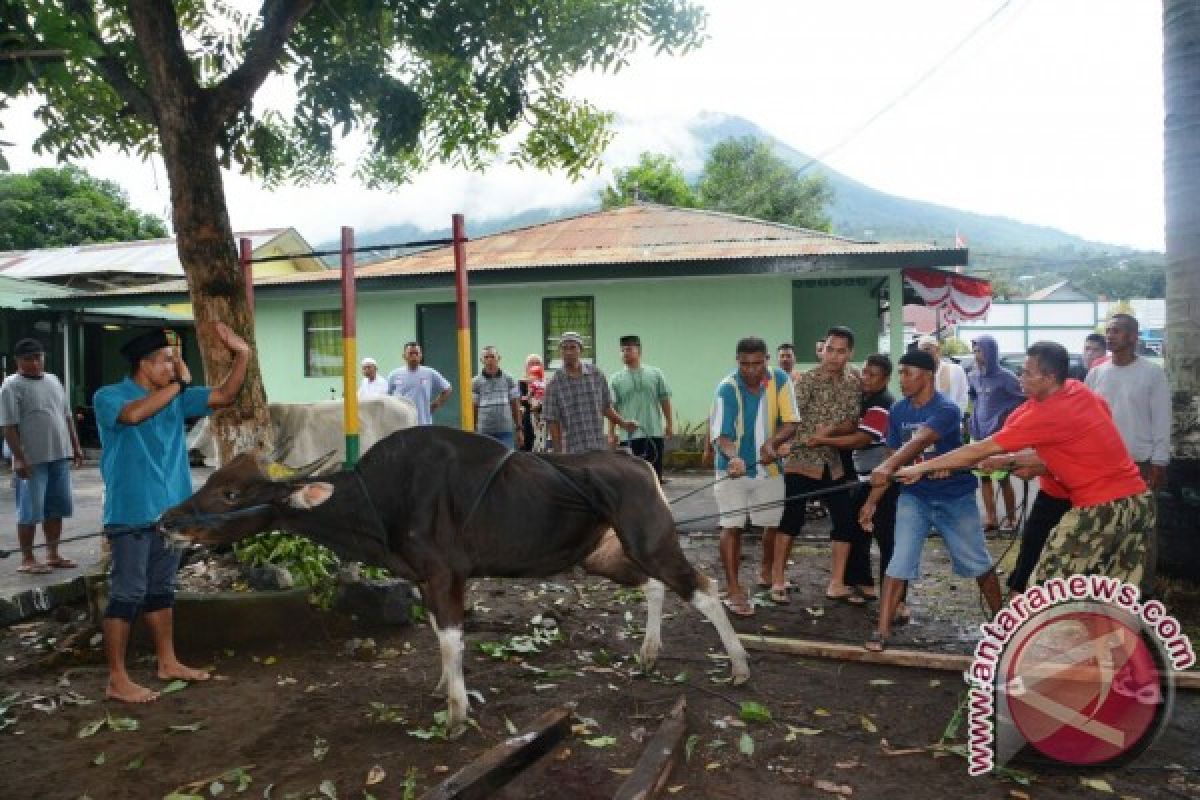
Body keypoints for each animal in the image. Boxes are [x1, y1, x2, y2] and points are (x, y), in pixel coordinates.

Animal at [162, 429, 748, 734]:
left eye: (231, 494)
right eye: (214, 482)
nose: (167, 520)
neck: (380, 500)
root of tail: (642, 464)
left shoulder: (446, 575)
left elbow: (450, 636)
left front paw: (457, 711)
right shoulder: (426, 580)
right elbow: (440, 639)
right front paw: (445, 688)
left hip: (650, 541)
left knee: (703, 587)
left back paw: (740, 666)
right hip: (605, 556)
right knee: (656, 586)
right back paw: (648, 653)